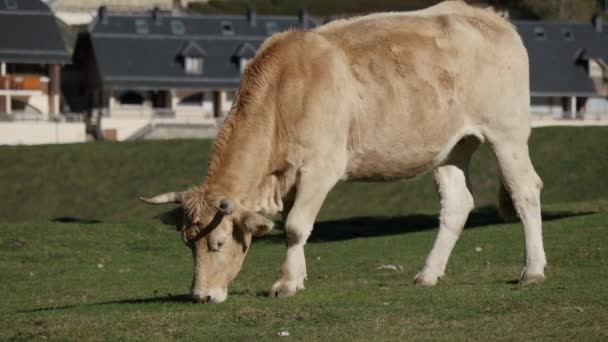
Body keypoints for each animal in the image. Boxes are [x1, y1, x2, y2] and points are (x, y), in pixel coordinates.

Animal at [141, 1, 548, 304]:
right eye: (187, 243)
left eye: (220, 243)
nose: (202, 296)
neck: (285, 92)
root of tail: (490, 16)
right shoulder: (292, 177)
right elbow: (295, 227)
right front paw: (299, 277)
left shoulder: (320, 168)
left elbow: (295, 226)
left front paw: (285, 284)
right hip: (452, 147)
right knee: (457, 204)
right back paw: (428, 274)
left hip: (506, 133)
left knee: (525, 191)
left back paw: (532, 271)